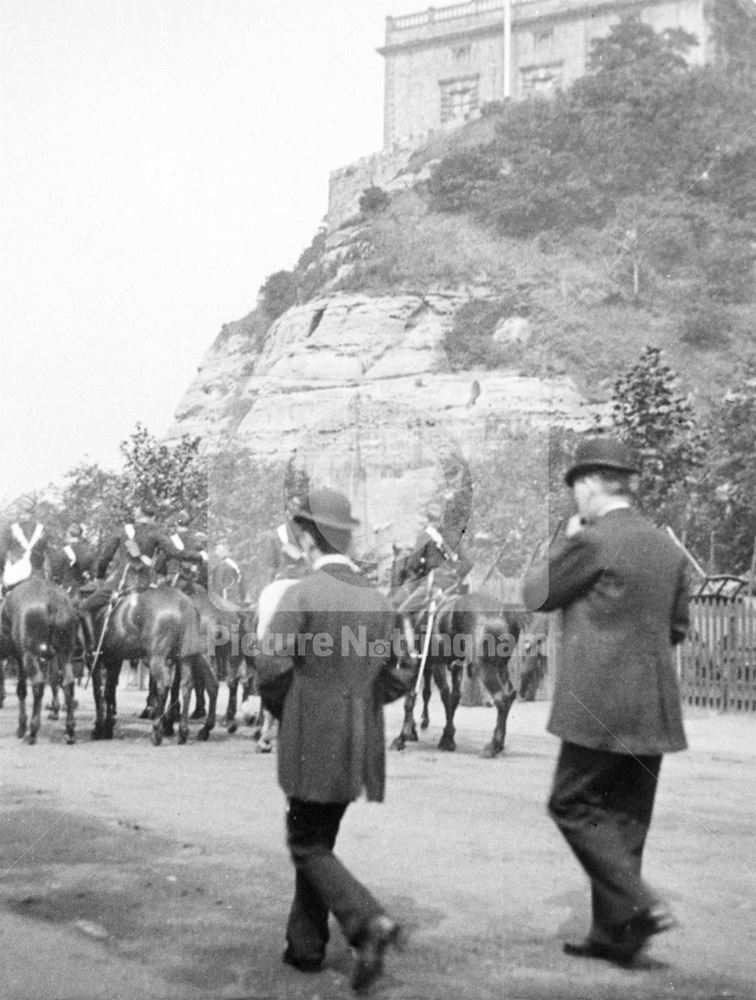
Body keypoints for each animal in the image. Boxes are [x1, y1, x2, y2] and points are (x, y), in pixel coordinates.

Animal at [0, 576, 78, 748]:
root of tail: (51, 600)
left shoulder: (19, 656)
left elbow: (21, 689)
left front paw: (22, 727)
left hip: (31, 654)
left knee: (38, 684)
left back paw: (32, 731)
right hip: (64, 652)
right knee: (67, 683)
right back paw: (69, 731)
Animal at [90, 584, 219, 744]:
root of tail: (185, 605)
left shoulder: (100, 660)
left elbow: (101, 693)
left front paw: (100, 728)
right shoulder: (114, 660)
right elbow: (108, 692)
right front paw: (107, 726)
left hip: (158, 658)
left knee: (164, 686)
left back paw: (158, 730)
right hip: (190, 657)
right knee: (199, 685)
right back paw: (191, 730)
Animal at [386, 552, 540, 752]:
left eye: (396, 569)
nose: (391, 595)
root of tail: (504, 613)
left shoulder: (425, 664)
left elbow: (418, 698)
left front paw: (403, 737)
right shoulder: (451, 666)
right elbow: (453, 697)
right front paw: (447, 737)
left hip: (484, 666)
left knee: (501, 698)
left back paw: (493, 746)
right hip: (500, 665)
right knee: (510, 694)